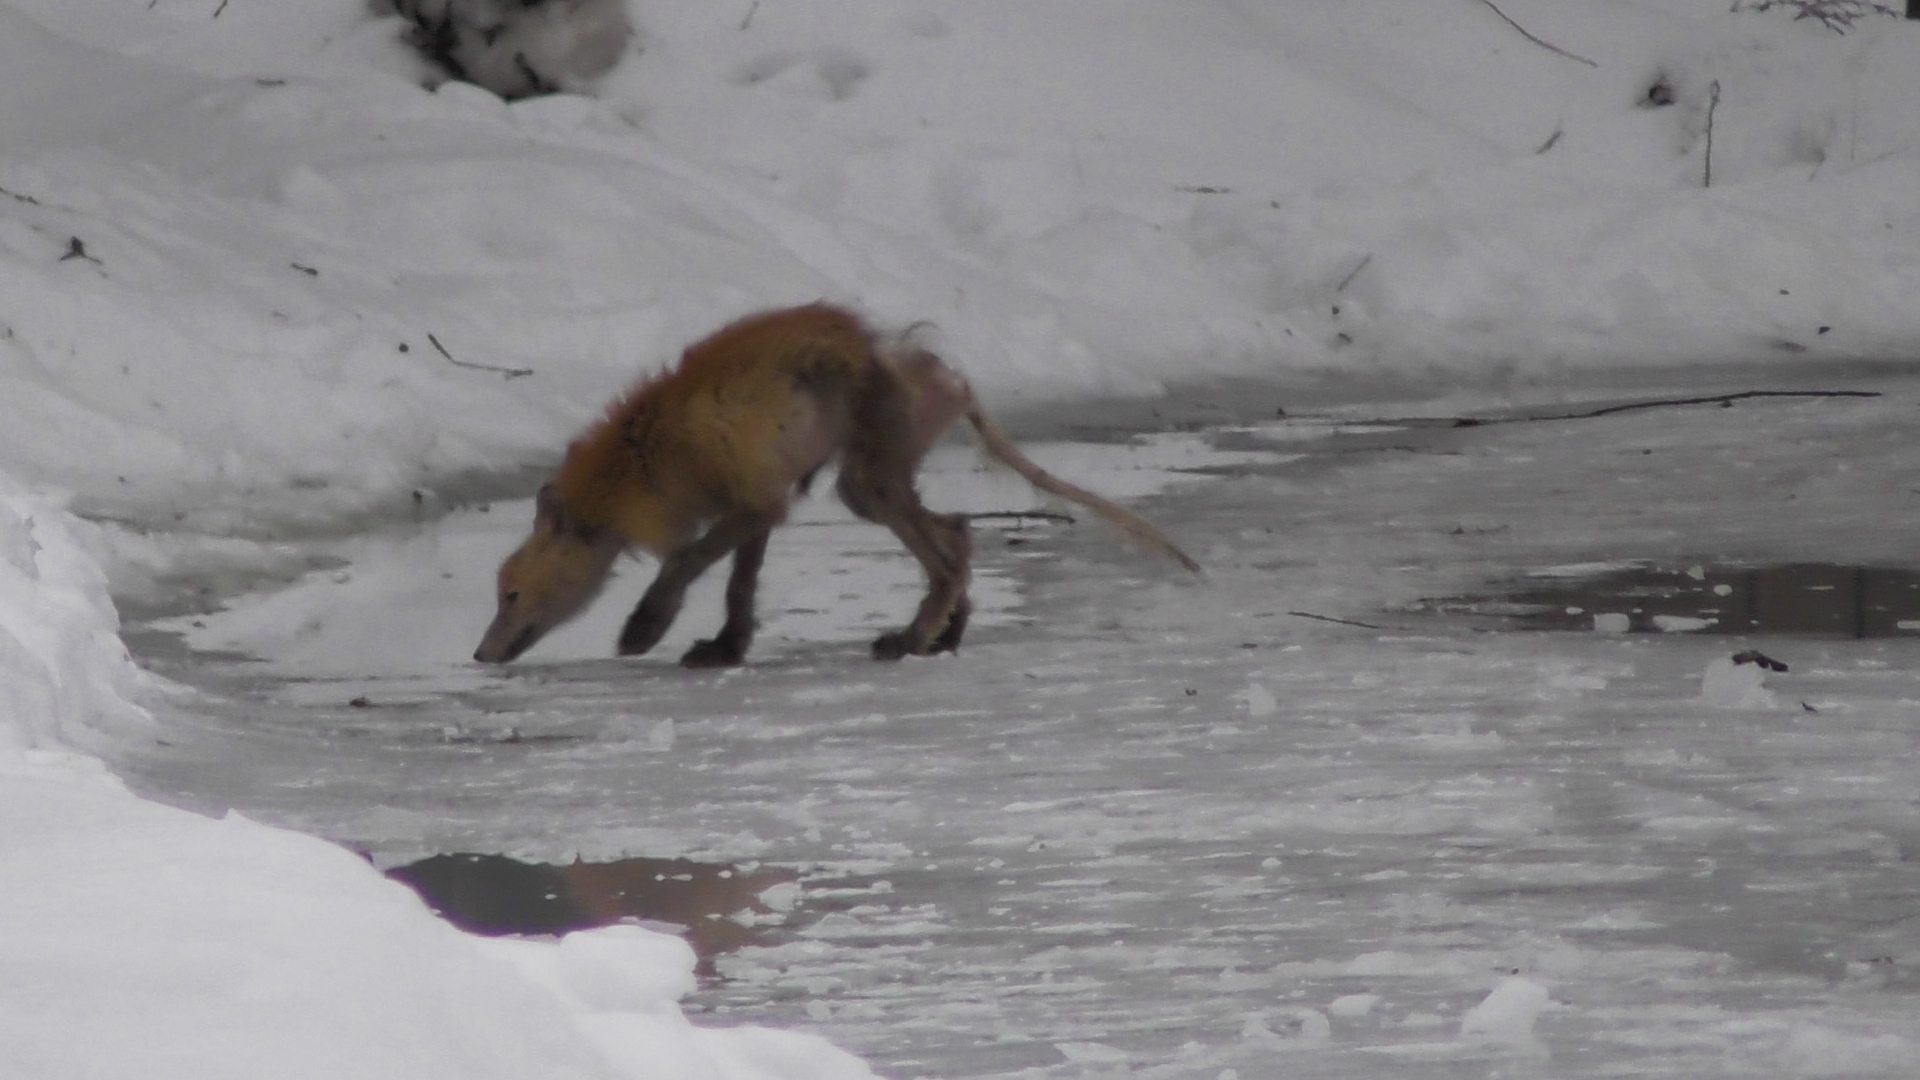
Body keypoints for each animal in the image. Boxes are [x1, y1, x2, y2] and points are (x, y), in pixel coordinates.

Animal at [472, 303, 1190, 664]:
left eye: (510, 595)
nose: (480, 654)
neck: (650, 455)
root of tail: (940, 370)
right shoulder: (763, 502)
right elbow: (739, 587)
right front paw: (727, 647)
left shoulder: (751, 500)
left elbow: (687, 563)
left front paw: (647, 626)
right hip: (867, 487)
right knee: (958, 535)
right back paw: (943, 633)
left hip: (868, 484)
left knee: (946, 557)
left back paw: (912, 638)